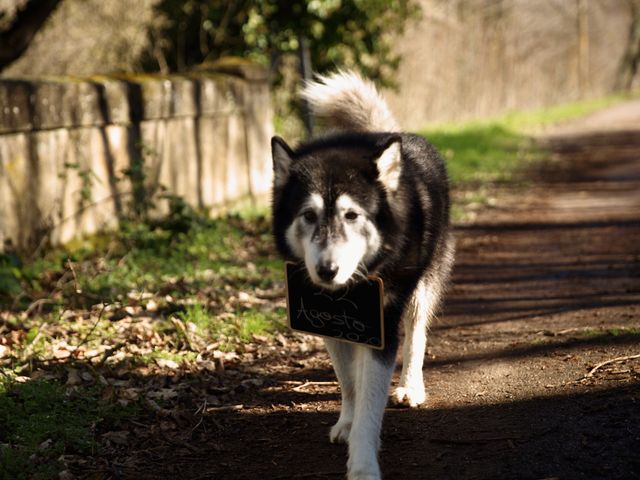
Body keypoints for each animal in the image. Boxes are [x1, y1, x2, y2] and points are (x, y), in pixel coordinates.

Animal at [270, 71, 456, 480]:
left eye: (352, 215)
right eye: (308, 215)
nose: (327, 270)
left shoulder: (380, 324)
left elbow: (372, 401)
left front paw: (363, 464)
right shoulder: (331, 322)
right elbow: (350, 384)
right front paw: (346, 423)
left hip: (421, 288)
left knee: (416, 335)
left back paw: (410, 387)